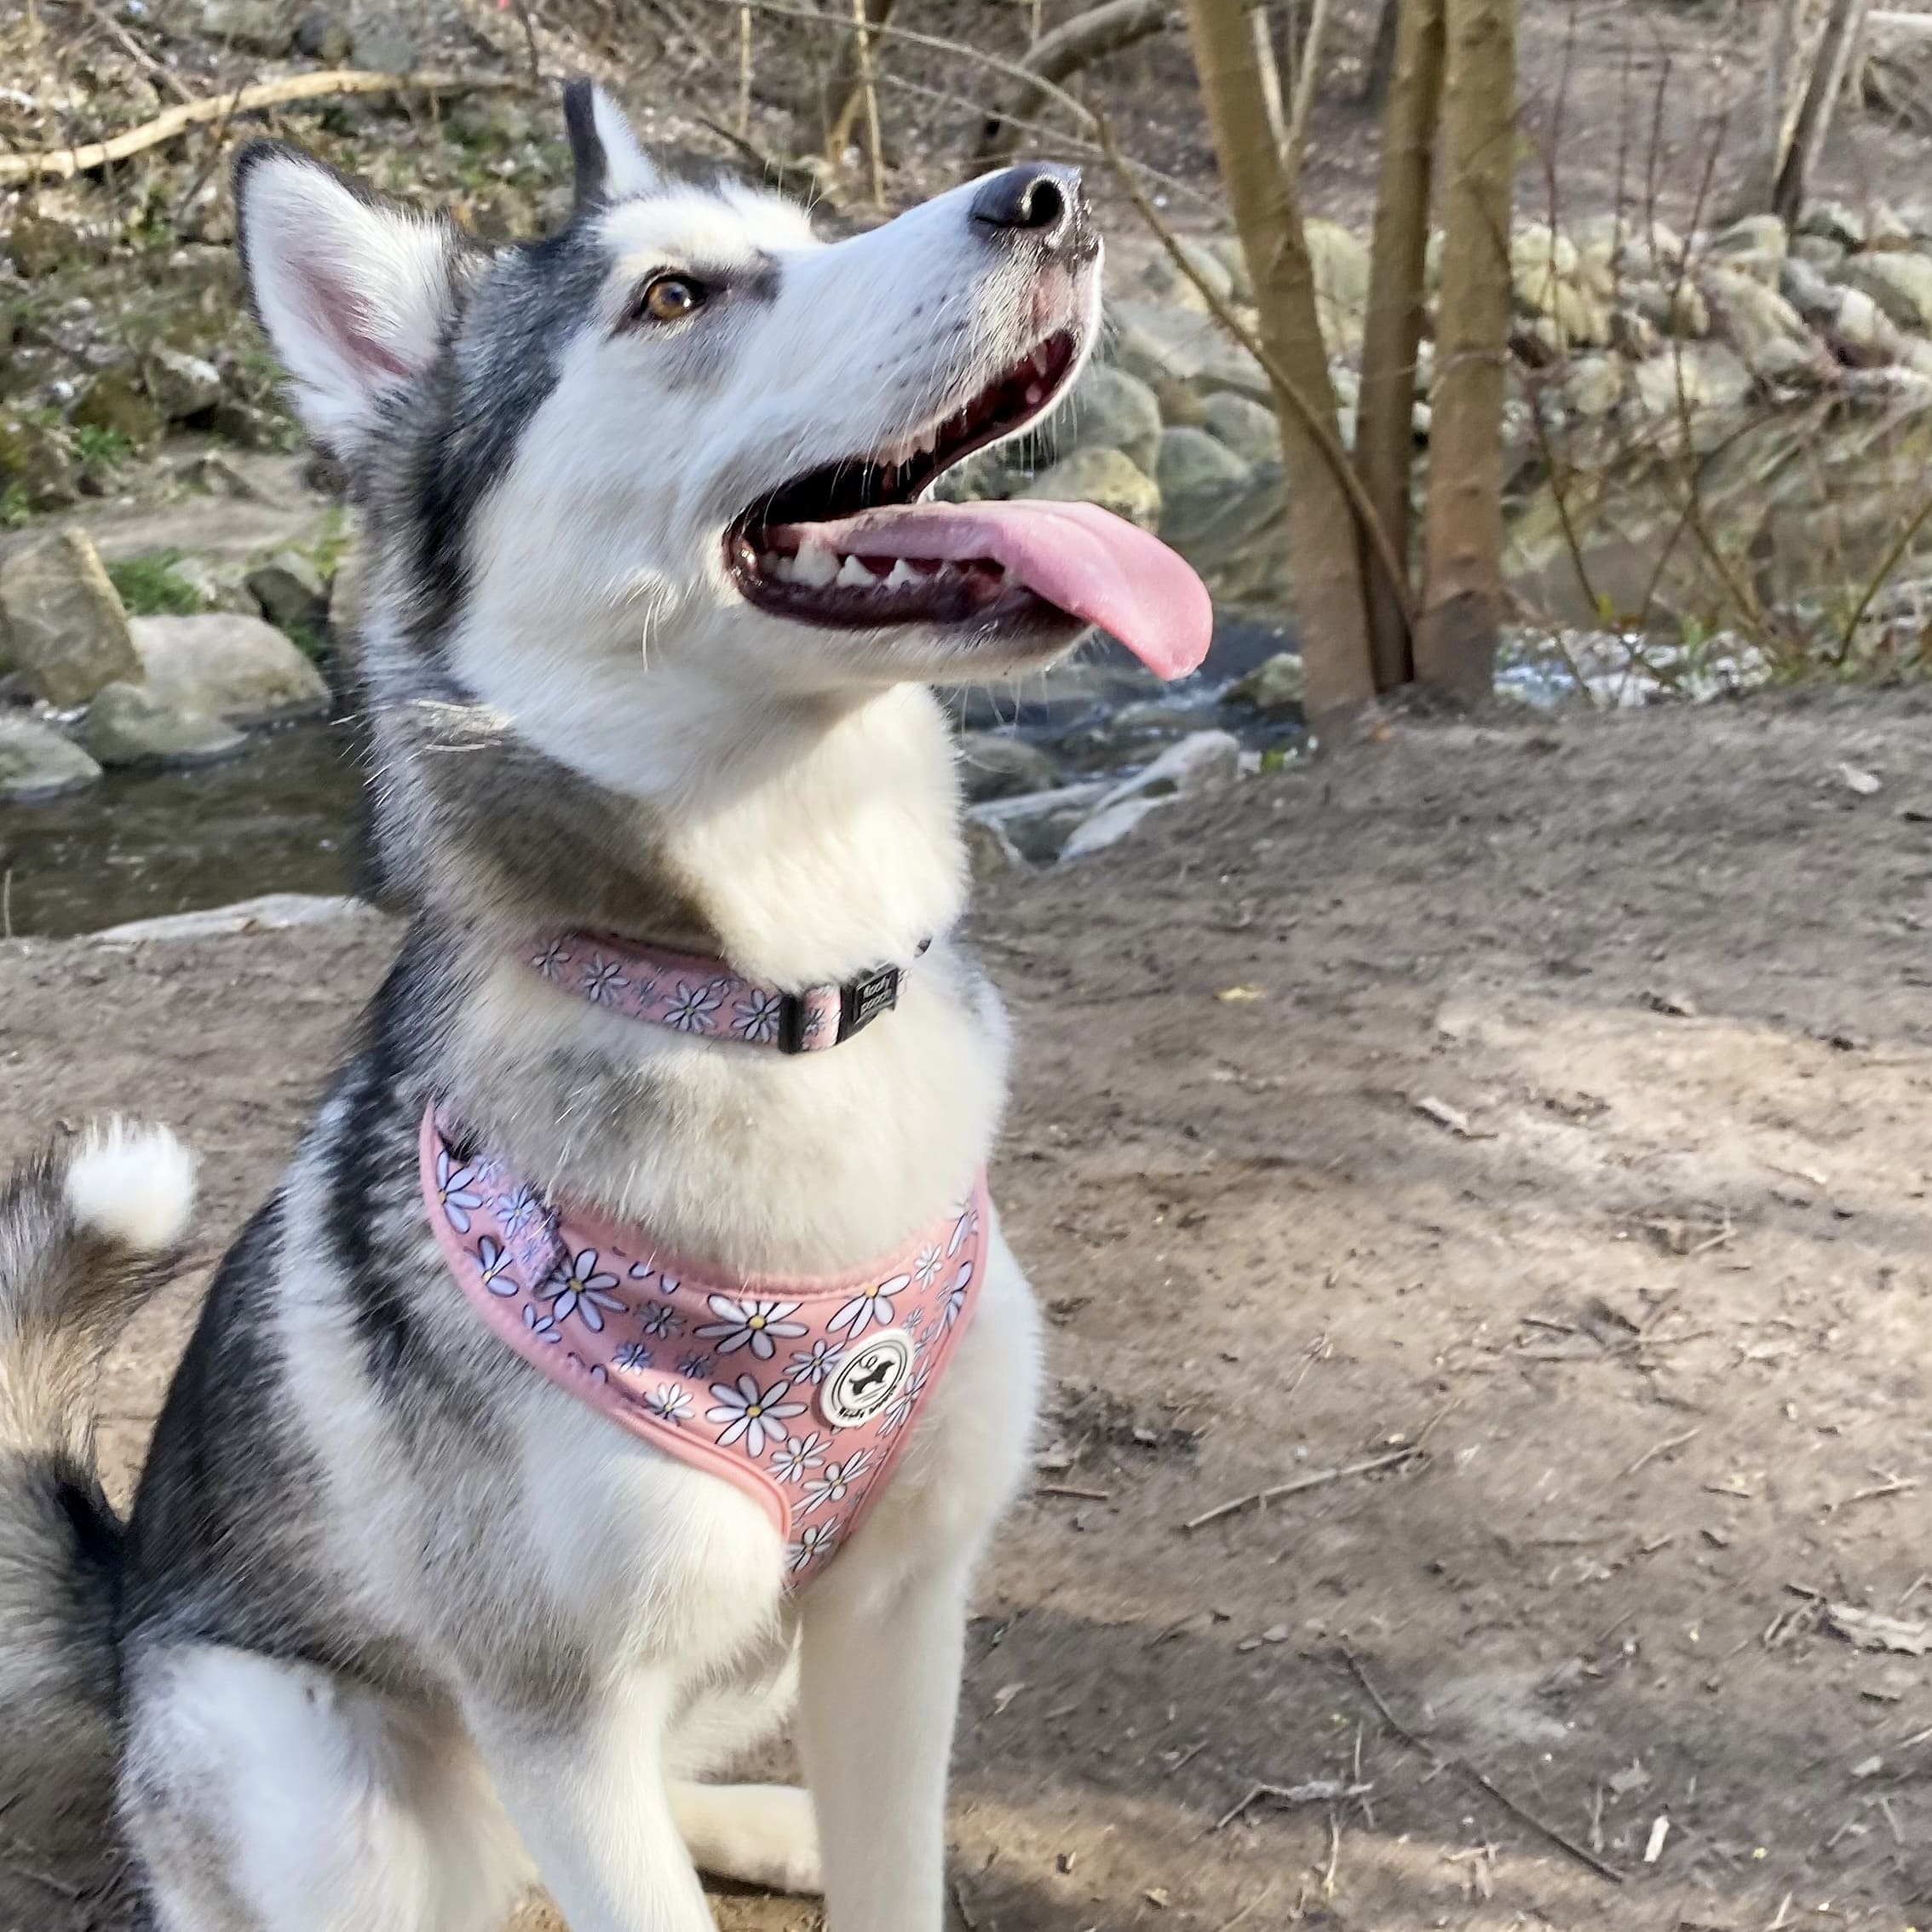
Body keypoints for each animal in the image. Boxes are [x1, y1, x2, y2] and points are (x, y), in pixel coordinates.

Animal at [0, 83, 1198, 1932]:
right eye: (675, 295)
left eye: (805, 233)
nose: (1051, 195)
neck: (774, 1003)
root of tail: (123, 1610)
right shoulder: (557, 1710)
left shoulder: (897, 1611)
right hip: (307, 1762)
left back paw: (768, 1821)